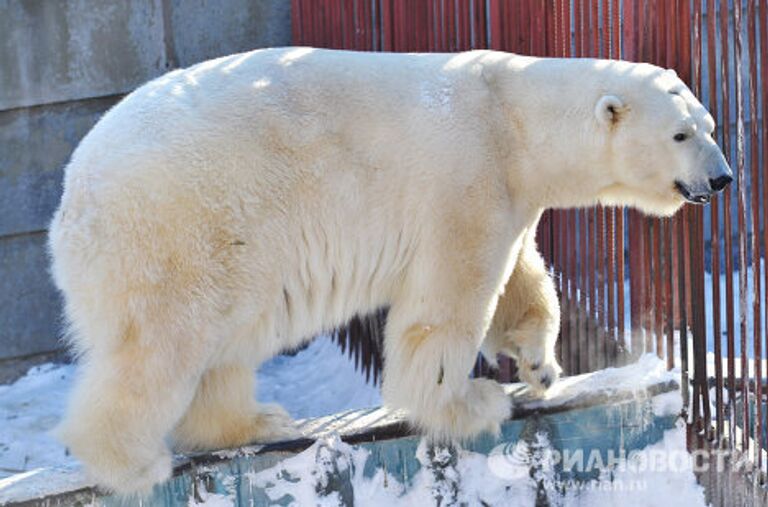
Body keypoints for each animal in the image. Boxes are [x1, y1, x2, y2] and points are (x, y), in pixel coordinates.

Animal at [48, 46, 732, 492]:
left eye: (708, 124)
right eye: (680, 135)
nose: (723, 177)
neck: (515, 115)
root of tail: (73, 197)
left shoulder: (512, 191)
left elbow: (521, 276)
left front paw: (540, 365)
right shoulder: (468, 176)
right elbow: (450, 301)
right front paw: (470, 403)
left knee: (223, 348)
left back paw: (253, 420)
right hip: (180, 226)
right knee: (161, 344)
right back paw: (132, 464)